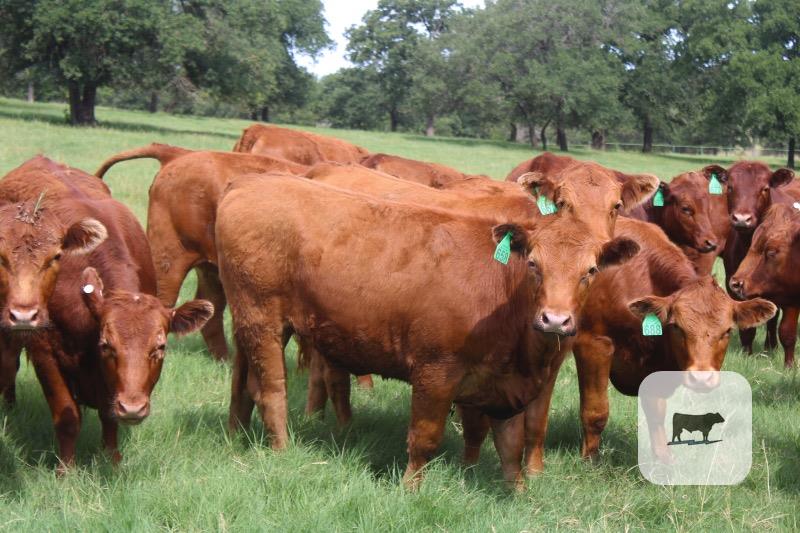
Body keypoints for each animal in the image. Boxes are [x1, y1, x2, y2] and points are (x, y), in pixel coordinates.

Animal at [0, 158, 213, 470]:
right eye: (107, 345)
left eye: (160, 347)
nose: (133, 408)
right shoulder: (45, 354)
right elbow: (67, 416)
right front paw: (66, 470)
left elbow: (109, 415)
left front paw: (111, 459)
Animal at [216, 173, 639, 488]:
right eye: (534, 264)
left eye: (590, 271)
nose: (555, 319)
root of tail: (248, 181)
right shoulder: (435, 372)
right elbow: (425, 437)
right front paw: (410, 488)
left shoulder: (506, 386)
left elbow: (511, 446)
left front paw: (519, 493)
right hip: (263, 320)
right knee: (272, 390)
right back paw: (281, 449)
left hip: (252, 322)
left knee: (243, 381)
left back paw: (237, 433)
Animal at [572, 217, 775, 463]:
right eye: (677, 327)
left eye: (727, 331)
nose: (701, 379)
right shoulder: (592, 343)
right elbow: (596, 411)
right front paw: (590, 459)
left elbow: (657, 412)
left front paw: (663, 457)